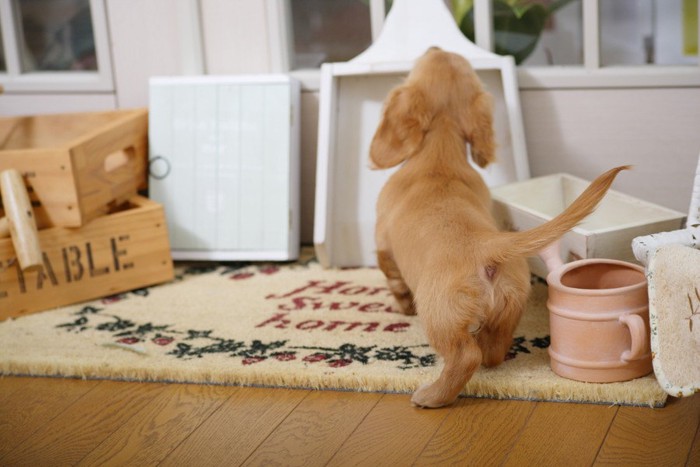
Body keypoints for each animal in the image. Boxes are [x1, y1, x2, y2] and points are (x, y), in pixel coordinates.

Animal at [372, 45, 628, 408]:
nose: (436, 47)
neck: (439, 156)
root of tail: (486, 245)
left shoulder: (383, 245)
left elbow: (394, 280)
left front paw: (401, 308)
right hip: (511, 303)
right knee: (492, 352)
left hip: (439, 315)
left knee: (466, 356)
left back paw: (431, 395)